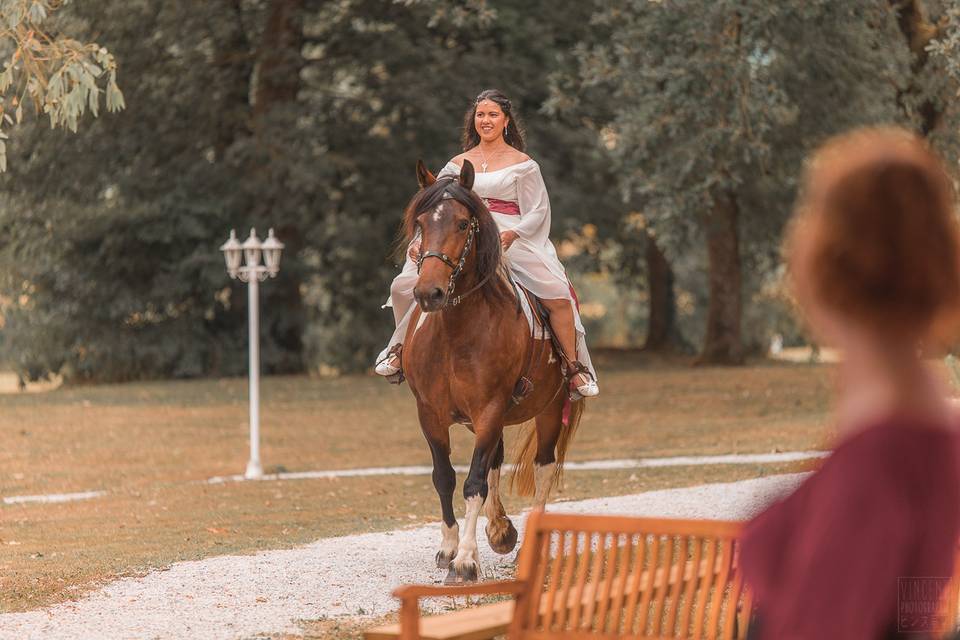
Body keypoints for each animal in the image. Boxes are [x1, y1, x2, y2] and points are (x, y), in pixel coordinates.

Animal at [400, 158, 584, 584]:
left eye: (462, 224)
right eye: (421, 222)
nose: (428, 293)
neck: (456, 332)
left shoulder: (489, 409)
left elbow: (473, 483)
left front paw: (467, 560)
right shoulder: (429, 413)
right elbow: (446, 477)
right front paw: (450, 548)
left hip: (550, 410)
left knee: (543, 466)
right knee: (496, 464)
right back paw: (500, 531)